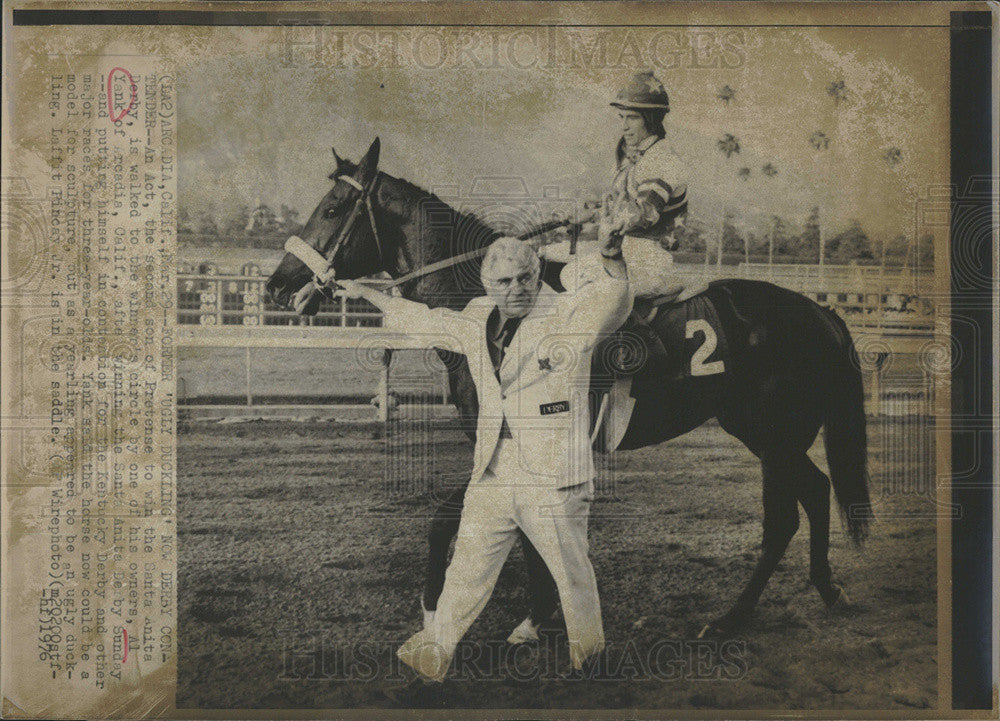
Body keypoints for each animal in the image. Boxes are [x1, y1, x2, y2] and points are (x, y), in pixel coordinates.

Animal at [264, 139, 868, 636]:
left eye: (332, 209)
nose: (278, 284)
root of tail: (822, 312)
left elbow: (450, 521)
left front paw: (443, 607)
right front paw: (539, 613)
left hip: (773, 438)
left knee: (785, 516)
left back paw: (732, 618)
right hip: (773, 438)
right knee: (817, 491)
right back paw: (828, 590)